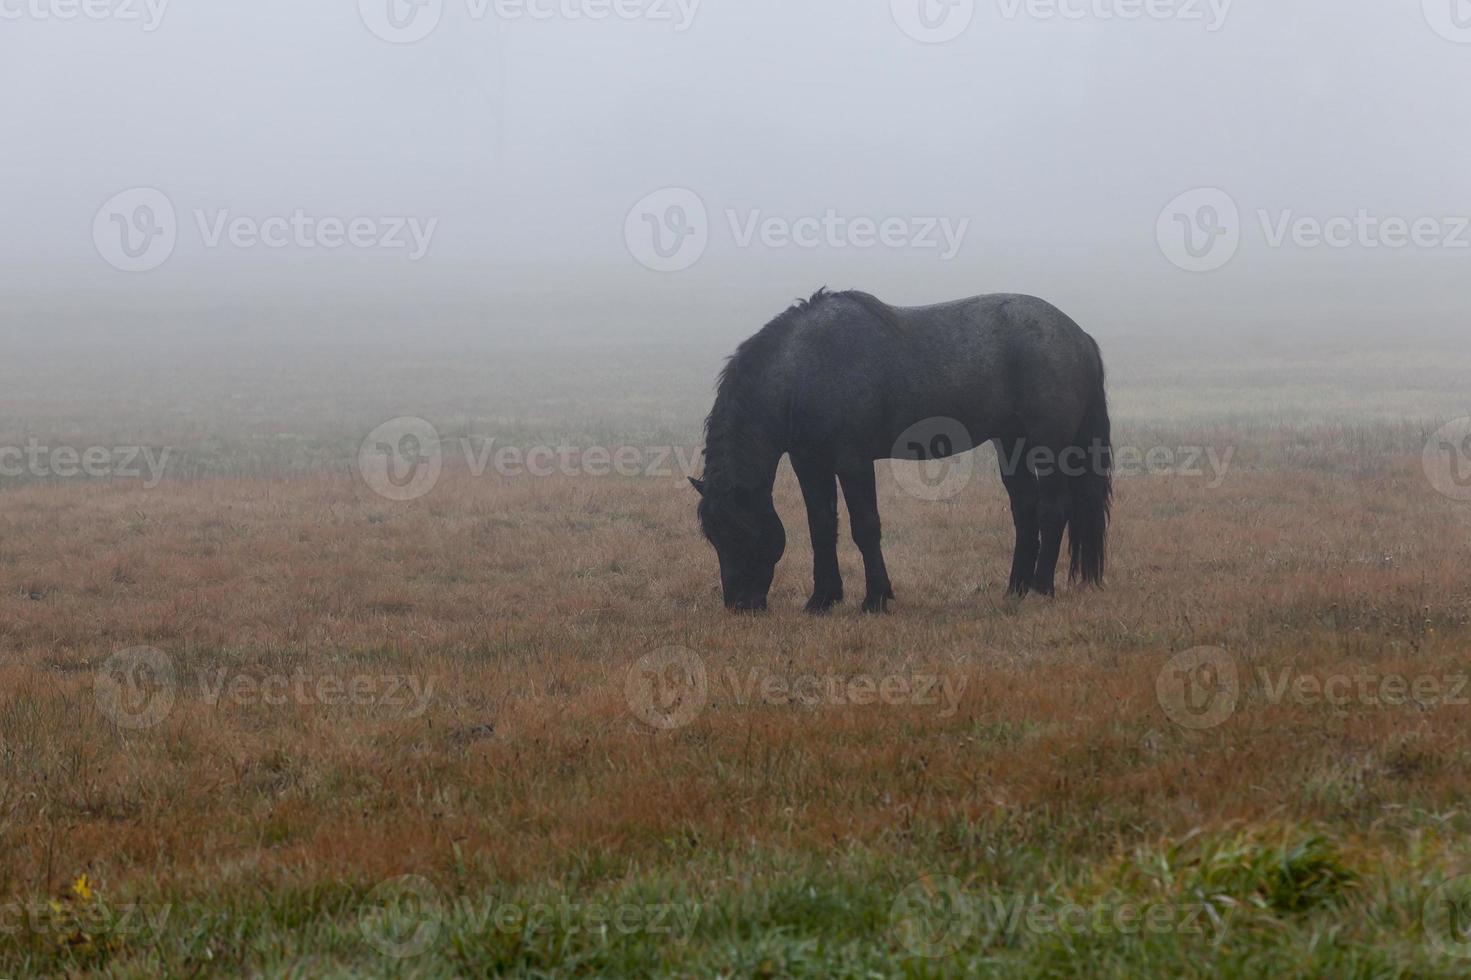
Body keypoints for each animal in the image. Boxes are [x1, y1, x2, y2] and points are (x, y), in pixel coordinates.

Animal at [694, 288, 1106, 612]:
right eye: (713, 536)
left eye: (740, 531)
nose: (739, 604)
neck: (805, 369)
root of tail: (1079, 335)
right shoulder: (809, 463)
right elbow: (821, 526)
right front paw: (822, 599)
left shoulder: (854, 462)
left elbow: (865, 527)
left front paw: (875, 598)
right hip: (1010, 444)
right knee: (1025, 510)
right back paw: (1015, 589)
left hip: (1048, 447)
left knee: (1052, 511)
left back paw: (1040, 588)